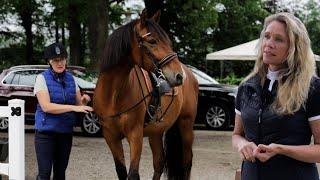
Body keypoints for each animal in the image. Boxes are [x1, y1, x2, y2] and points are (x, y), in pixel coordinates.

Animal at [93, 9, 198, 179]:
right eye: (152, 41)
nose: (178, 76)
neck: (113, 95)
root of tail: (189, 74)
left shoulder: (135, 135)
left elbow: (133, 173)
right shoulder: (111, 137)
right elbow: (121, 172)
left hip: (186, 125)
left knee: (187, 162)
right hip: (156, 131)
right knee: (159, 162)